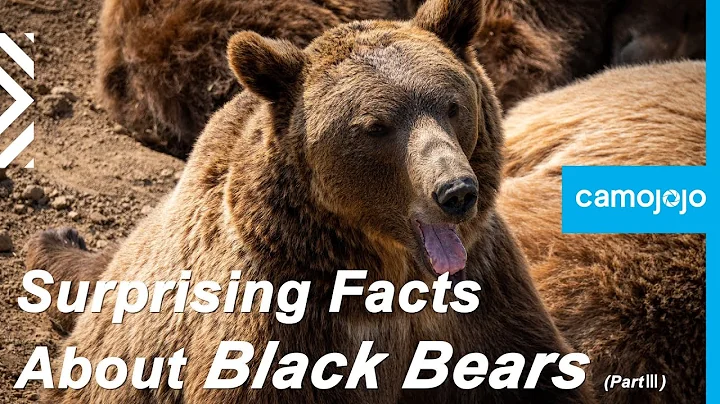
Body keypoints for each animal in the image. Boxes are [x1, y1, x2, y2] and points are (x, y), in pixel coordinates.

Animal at [33, 0, 595, 402]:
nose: (456, 192)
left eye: (452, 105)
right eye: (376, 126)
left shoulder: (482, 295)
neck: (388, 274)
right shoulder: (279, 323)